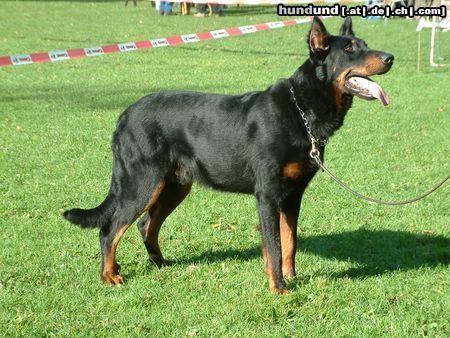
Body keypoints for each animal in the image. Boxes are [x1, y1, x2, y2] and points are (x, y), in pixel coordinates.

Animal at [64, 17, 394, 294]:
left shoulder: (293, 195)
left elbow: (290, 242)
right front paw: (279, 288)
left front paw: (292, 277)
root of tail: (124, 115)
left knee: (146, 225)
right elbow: (274, 247)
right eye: (350, 49)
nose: (390, 58)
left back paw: (159, 263)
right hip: (142, 183)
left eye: (365, 44)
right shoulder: (268, 196)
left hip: (174, 185)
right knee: (110, 229)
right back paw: (110, 275)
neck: (302, 108)